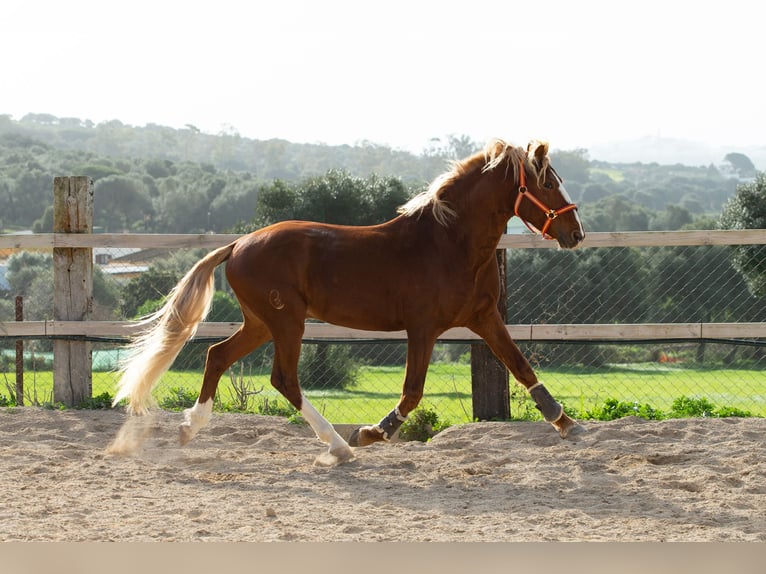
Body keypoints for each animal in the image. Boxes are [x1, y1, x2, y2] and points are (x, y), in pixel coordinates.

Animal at [112, 141, 588, 468]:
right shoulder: (423, 328)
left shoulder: (485, 318)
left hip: (262, 323)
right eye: (548, 182)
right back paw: (340, 447)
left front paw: (565, 422)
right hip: (286, 322)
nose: (576, 232)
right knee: (283, 379)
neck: (450, 243)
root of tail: (238, 245)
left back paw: (189, 428)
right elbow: (413, 391)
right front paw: (372, 433)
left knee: (217, 355)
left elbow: (520, 365)